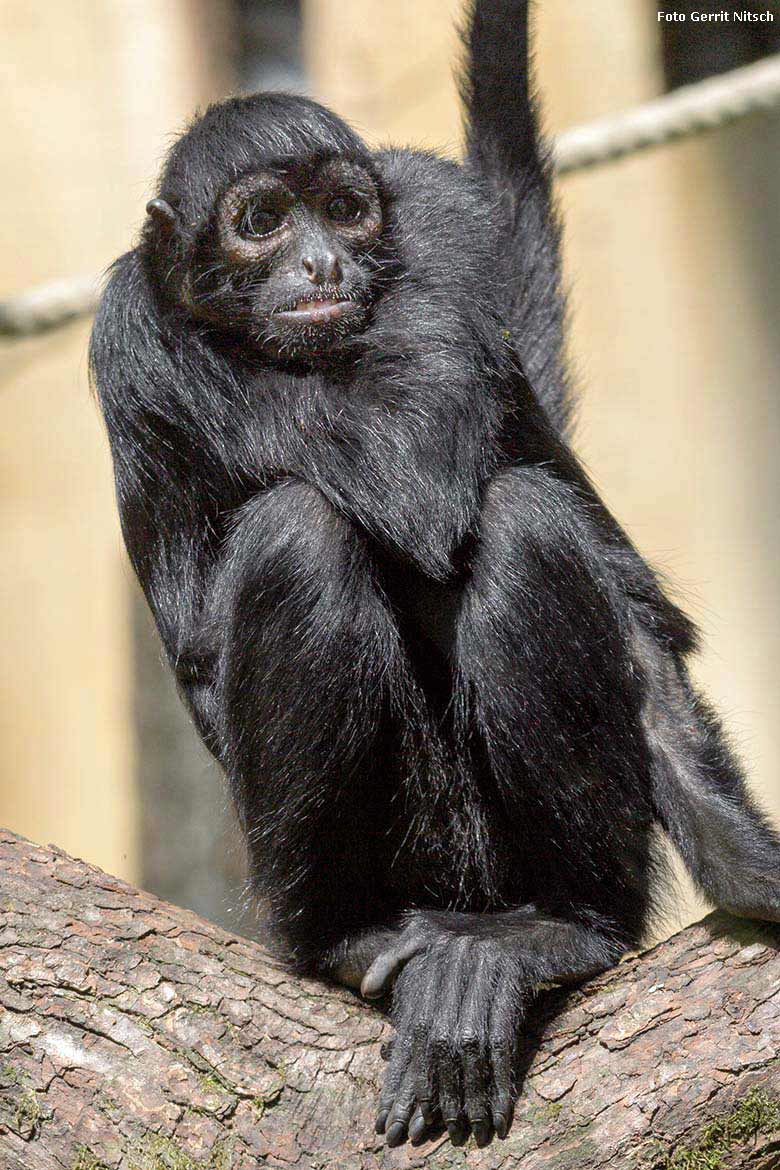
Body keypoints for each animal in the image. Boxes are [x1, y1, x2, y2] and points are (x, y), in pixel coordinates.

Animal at [88, 0, 780, 1151]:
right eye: (262, 220)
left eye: (345, 210)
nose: (325, 266)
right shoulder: (136, 339)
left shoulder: (445, 226)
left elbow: (619, 581)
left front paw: (750, 868)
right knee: (299, 531)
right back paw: (350, 940)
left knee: (525, 520)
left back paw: (561, 930)